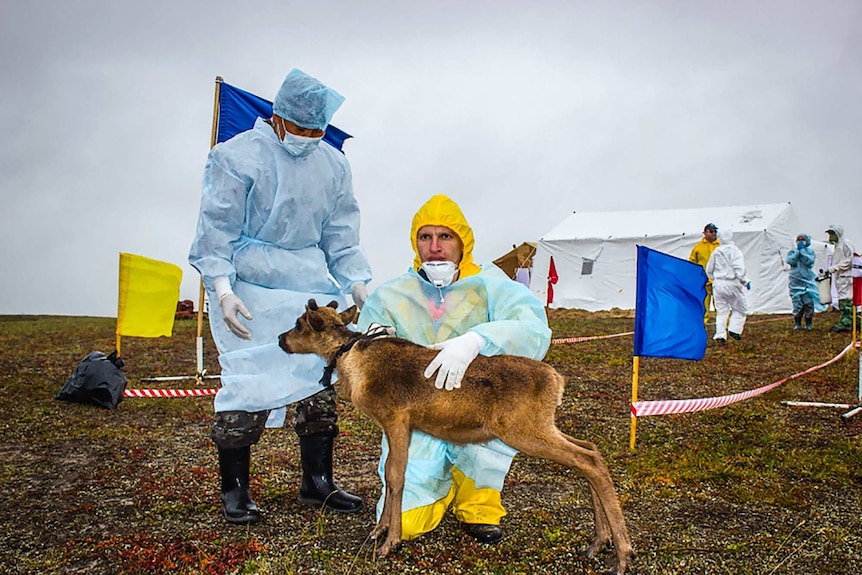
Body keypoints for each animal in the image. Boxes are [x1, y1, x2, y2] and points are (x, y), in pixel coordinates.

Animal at [280, 302, 636, 575]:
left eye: (298, 324)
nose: (280, 338)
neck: (351, 363)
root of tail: (558, 380)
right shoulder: (397, 425)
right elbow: (388, 476)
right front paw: (380, 530)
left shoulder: (397, 418)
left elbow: (395, 476)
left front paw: (390, 542)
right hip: (542, 425)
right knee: (590, 450)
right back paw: (600, 541)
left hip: (523, 429)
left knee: (587, 460)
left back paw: (622, 552)